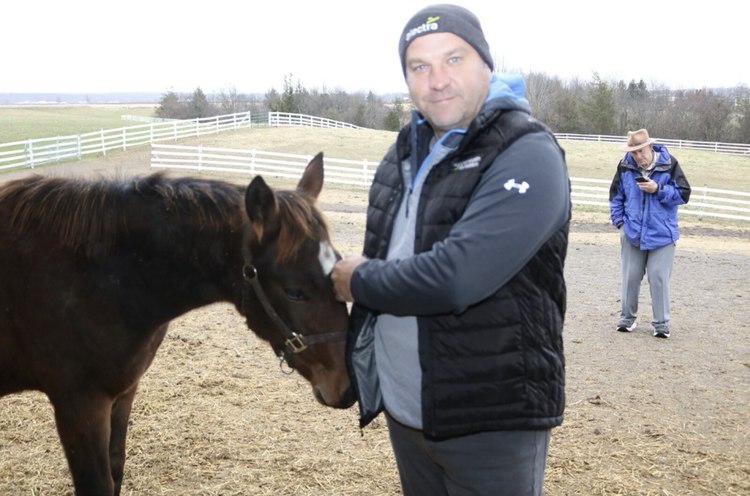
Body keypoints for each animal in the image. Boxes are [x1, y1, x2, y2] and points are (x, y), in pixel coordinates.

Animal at [0, 152, 354, 496]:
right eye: (295, 291)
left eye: (338, 271)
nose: (348, 387)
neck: (103, 277)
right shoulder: (79, 406)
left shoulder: (122, 393)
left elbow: (116, 471)